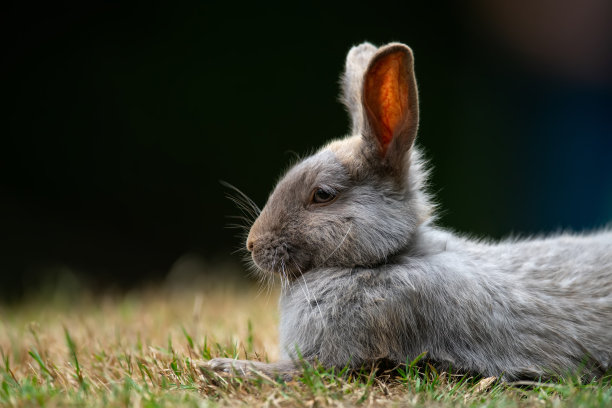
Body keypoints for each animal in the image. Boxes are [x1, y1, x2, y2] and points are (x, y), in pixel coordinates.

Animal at [207, 42, 612, 382]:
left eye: (322, 195)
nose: (253, 245)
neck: (382, 261)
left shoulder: (332, 359)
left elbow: (292, 372)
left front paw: (225, 366)